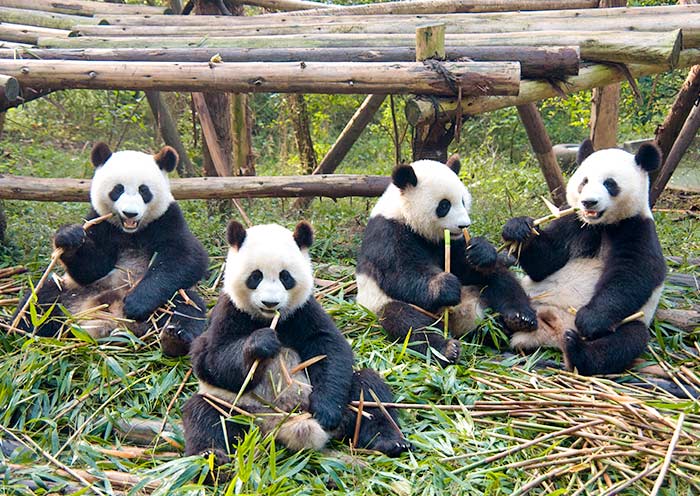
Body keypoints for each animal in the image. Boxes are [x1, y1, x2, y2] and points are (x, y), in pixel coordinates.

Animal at [11, 142, 209, 357]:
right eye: (118, 189)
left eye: (144, 191)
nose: (130, 213)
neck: (131, 232)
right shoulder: (100, 223)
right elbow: (93, 268)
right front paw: (69, 238)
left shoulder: (167, 218)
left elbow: (186, 258)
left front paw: (136, 303)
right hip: (72, 292)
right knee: (39, 302)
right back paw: (18, 333)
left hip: (169, 300)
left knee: (187, 306)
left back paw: (175, 338)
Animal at [183, 220, 410, 464]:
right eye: (255, 276)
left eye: (285, 277)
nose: (270, 303)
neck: (268, 319)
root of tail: (282, 426)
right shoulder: (229, 311)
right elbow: (211, 359)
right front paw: (261, 344)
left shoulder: (304, 311)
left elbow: (329, 347)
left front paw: (326, 411)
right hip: (241, 410)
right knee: (206, 413)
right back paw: (211, 456)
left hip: (348, 400)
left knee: (369, 393)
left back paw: (390, 442)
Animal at [355, 156, 537, 367]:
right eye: (444, 205)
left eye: (463, 201)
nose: (464, 225)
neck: (405, 215)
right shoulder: (388, 233)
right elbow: (400, 273)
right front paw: (445, 286)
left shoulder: (450, 243)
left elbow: (467, 267)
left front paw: (481, 251)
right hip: (382, 304)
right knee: (406, 320)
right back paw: (446, 348)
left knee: (500, 279)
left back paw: (519, 318)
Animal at [502, 140, 667, 375]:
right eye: (584, 181)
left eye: (610, 183)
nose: (588, 202)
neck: (601, 225)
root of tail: (551, 334)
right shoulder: (574, 222)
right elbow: (546, 263)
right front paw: (519, 228)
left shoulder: (637, 228)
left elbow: (632, 275)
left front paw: (589, 319)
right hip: (534, 301)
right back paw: (516, 319)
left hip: (628, 322)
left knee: (625, 341)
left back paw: (576, 349)